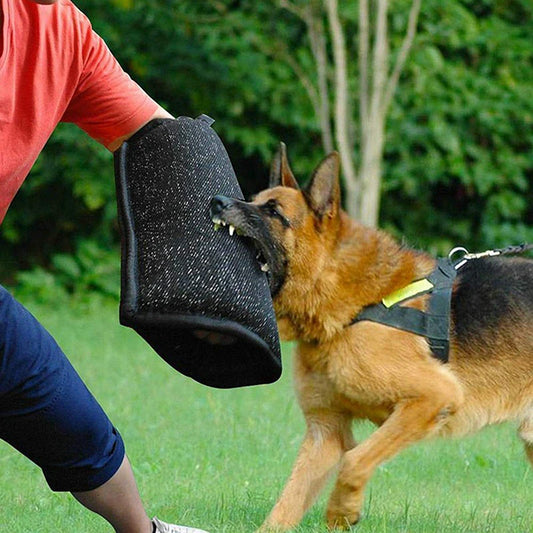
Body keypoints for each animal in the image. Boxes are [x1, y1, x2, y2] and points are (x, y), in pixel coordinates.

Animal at [209, 142, 532, 528]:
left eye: (273, 211)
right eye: (255, 200)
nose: (215, 201)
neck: (350, 308)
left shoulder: (433, 396)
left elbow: (354, 461)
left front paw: (342, 511)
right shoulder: (325, 432)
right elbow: (285, 505)